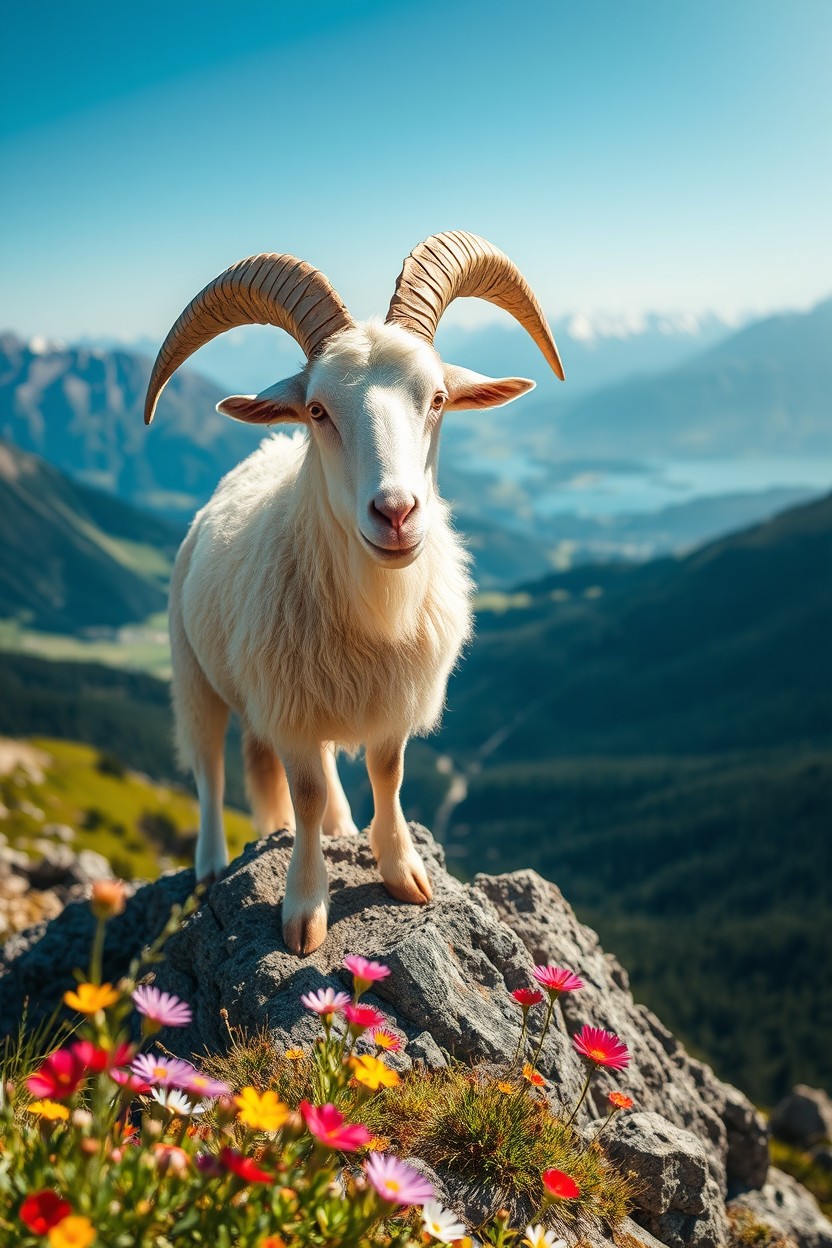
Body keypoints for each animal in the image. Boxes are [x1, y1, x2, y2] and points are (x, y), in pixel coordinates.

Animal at [144, 231, 563, 954]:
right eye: (318, 410)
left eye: (438, 399)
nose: (396, 513)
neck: (376, 609)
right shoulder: (287, 712)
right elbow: (305, 796)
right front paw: (304, 910)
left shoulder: (390, 702)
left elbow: (386, 774)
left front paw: (402, 873)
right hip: (192, 673)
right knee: (208, 770)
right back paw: (211, 865)